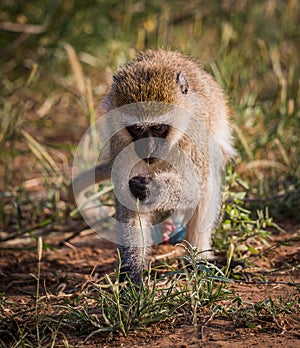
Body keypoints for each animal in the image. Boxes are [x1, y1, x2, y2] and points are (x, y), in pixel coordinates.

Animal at [72, 49, 234, 282]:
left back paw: (200, 261)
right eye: (137, 129)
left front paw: (154, 188)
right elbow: (129, 205)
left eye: (158, 128)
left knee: (208, 185)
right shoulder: (121, 141)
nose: (148, 149)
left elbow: (198, 187)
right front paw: (133, 274)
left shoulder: (194, 135)